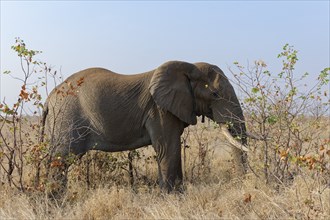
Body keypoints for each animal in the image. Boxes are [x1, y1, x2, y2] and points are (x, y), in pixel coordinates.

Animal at [41, 60, 248, 192]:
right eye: (214, 94)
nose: (240, 187)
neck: (189, 66)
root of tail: (48, 99)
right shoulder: (159, 110)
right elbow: (168, 148)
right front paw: (171, 198)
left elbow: (170, 149)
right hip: (67, 118)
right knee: (61, 159)